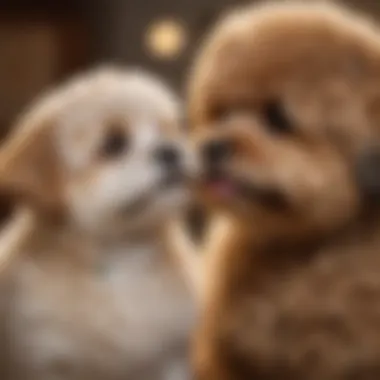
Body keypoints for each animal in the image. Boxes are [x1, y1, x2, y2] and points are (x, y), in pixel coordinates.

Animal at [0, 67, 196, 380]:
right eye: (114, 144)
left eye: (175, 129)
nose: (170, 151)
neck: (121, 257)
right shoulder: (44, 363)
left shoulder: (170, 360)